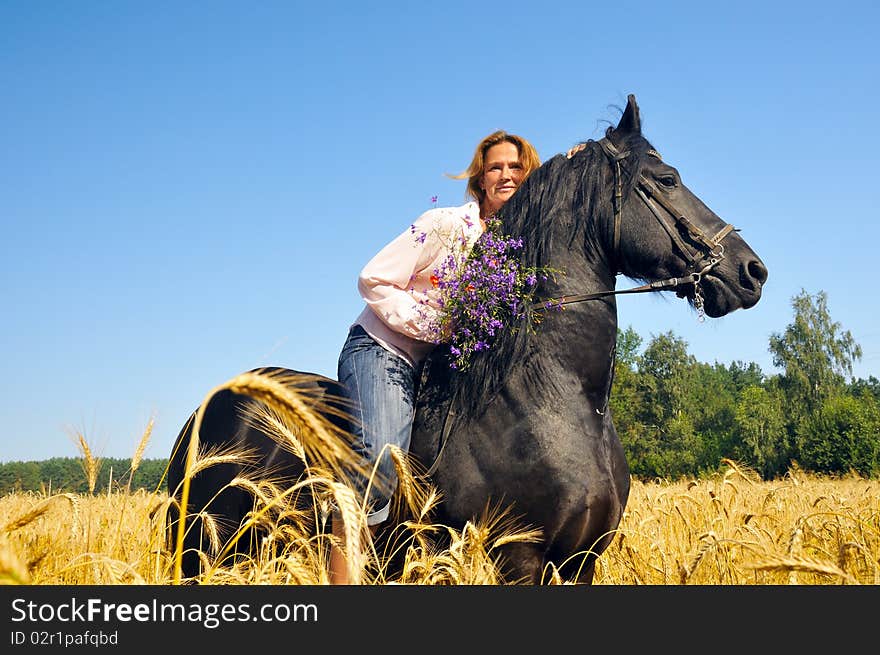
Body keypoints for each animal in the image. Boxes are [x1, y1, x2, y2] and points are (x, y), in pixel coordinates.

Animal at [165, 96, 764, 584]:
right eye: (666, 179)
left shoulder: (581, 560)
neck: (558, 398)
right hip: (205, 551)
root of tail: (210, 405)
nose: (750, 271)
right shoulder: (518, 555)